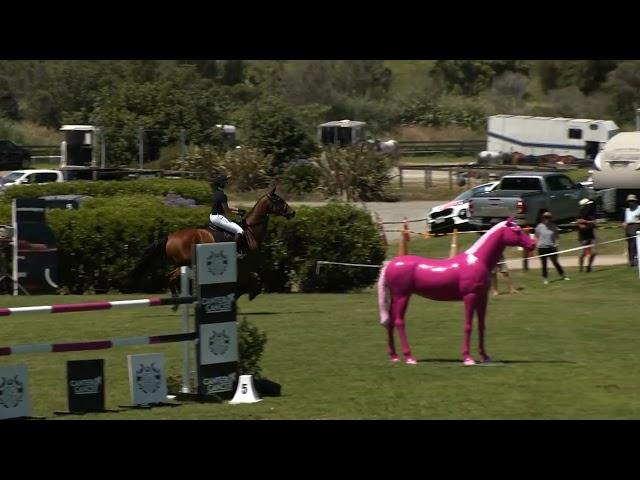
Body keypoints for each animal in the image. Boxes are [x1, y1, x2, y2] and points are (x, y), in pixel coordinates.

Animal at [127, 185, 298, 300]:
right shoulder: (244, 264)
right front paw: (248, 294)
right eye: (279, 200)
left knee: (171, 276)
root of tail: (170, 236)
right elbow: (253, 279)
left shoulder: (244, 266)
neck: (250, 232)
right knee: (171, 276)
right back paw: (176, 297)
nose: (293, 212)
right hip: (185, 262)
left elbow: (252, 279)